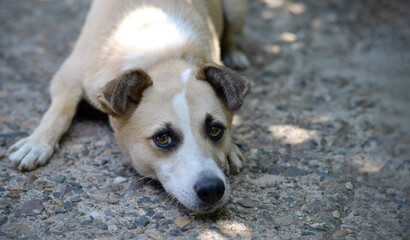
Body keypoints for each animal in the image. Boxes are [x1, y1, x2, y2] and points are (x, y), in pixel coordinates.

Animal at [7, 0, 250, 214]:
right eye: (162, 138)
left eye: (215, 130)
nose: (212, 189)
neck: (162, 57)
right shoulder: (68, 75)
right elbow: (59, 112)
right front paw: (37, 142)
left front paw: (230, 149)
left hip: (236, 10)